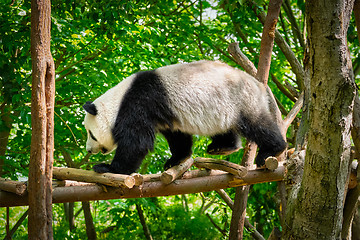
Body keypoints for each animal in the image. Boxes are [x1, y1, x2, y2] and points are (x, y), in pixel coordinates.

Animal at [83, 61, 286, 174]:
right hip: (223, 107)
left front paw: (108, 168)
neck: (119, 100)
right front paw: (176, 160)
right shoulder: (166, 113)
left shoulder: (139, 104)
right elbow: (177, 136)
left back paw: (271, 150)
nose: (89, 150)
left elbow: (136, 142)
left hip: (242, 99)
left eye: (91, 134)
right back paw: (222, 147)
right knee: (225, 126)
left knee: (258, 125)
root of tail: (259, 85)